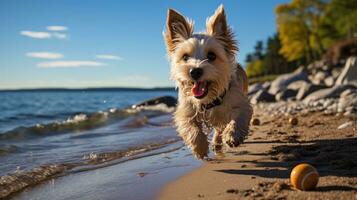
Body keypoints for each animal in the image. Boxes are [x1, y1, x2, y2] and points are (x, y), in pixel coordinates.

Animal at [163, 3, 252, 159]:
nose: (194, 71)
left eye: (212, 56)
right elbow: (191, 128)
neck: (208, 101)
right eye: (185, 57)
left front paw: (232, 135)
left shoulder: (241, 104)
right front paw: (199, 147)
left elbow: (238, 118)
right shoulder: (185, 112)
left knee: (220, 128)